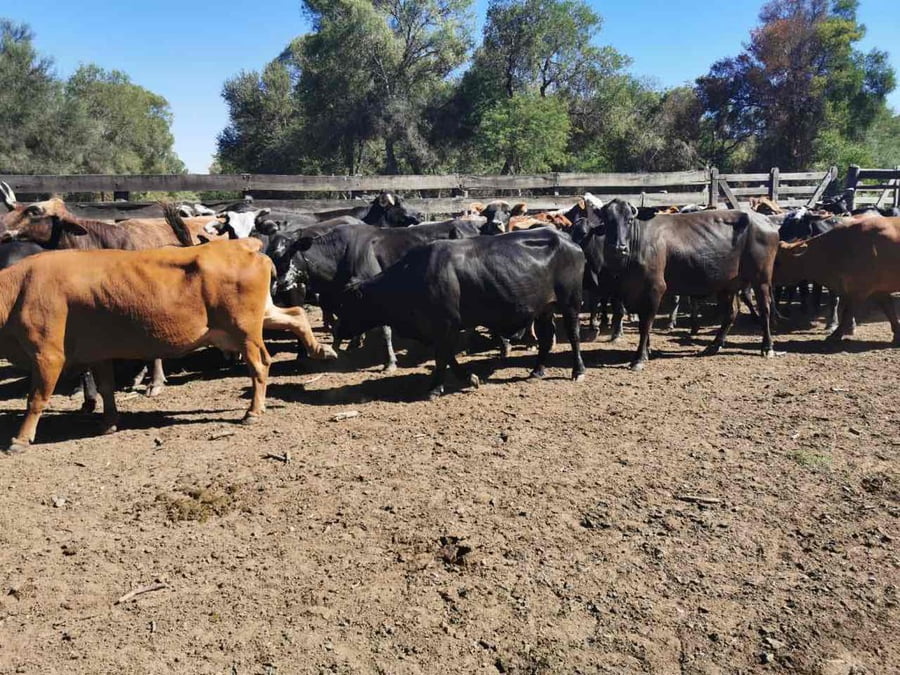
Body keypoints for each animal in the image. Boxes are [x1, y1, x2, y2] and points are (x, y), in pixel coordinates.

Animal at [0, 239, 275, 452]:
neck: (19, 288)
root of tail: (244, 246)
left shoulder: (47, 355)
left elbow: (35, 399)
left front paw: (20, 440)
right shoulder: (98, 350)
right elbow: (106, 388)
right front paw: (109, 423)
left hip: (245, 332)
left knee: (259, 366)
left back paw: (252, 412)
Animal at [333, 228, 586, 398]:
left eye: (348, 305)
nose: (339, 333)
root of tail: (567, 239)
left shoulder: (446, 325)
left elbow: (442, 357)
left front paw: (435, 388)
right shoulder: (440, 329)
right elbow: (447, 357)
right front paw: (469, 378)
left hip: (570, 302)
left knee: (573, 336)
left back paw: (578, 370)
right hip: (544, 308)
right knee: (545, 338)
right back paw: (537, 369)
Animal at [593, 199, 778, 370]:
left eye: (630, 220)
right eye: (607, 220)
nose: (619, 248)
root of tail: (764, 219)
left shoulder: (654, 288)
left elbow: (645, 325)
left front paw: (639, 358)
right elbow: (643, 324)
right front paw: (647, 351)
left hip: (761, 278)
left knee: (765, 309)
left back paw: (767, 347)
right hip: (728, 284)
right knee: (731, 313)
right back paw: (713, 346)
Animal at [774, 214, 900, 345]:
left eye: (777, 262)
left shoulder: (859, 290)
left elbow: (847, 313)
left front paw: (835, 334)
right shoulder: (878, 290)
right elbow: (889, 310)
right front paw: (897, 334)